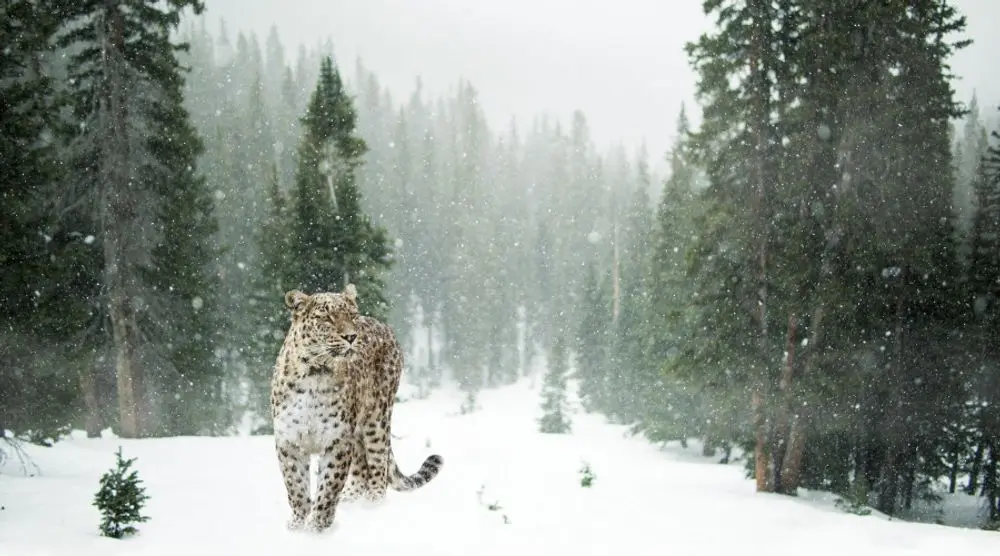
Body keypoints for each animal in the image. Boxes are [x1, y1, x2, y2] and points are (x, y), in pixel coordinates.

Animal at [270, 283, 443, 533]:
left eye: (351, 315)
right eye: (327, 317)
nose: (351, 336)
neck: (315, 373)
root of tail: (384, 325)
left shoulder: (337, 439)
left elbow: (329, 486)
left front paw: (317, 528)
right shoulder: (289, 440)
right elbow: (296, 486)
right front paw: (297, 525)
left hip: (377, 419)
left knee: (378, 465)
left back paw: (373, 506)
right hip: (358, 430)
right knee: (361, 468)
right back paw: (350, 500)